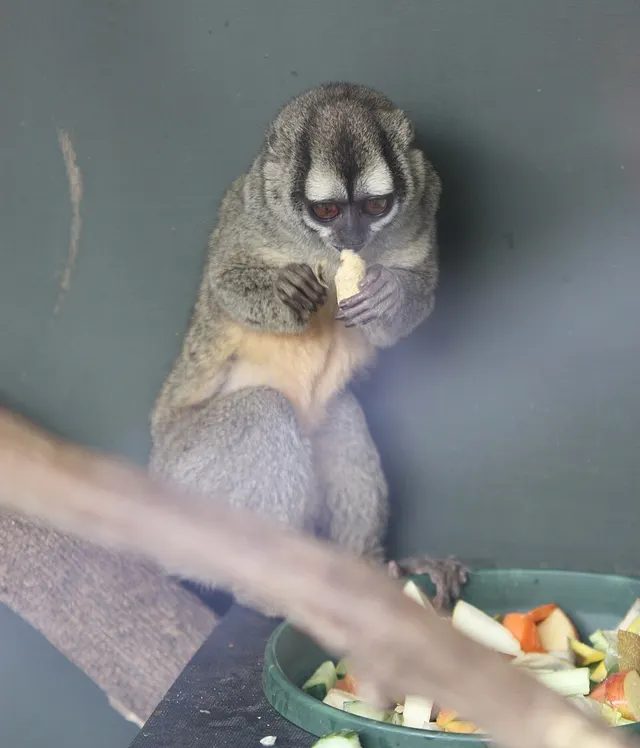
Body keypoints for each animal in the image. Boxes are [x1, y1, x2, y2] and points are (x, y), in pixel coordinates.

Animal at [147, 82, 465, 612]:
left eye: (375, 207)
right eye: (327, 211)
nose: (351, 235)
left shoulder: (426, 206)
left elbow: (413, 304)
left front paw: (388, 294)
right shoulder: (248, 210)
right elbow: (224, 283)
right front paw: (285, 292)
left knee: (342, 417)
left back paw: (371, 570)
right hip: (183, 485)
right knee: (263, 412)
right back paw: (265, 589)